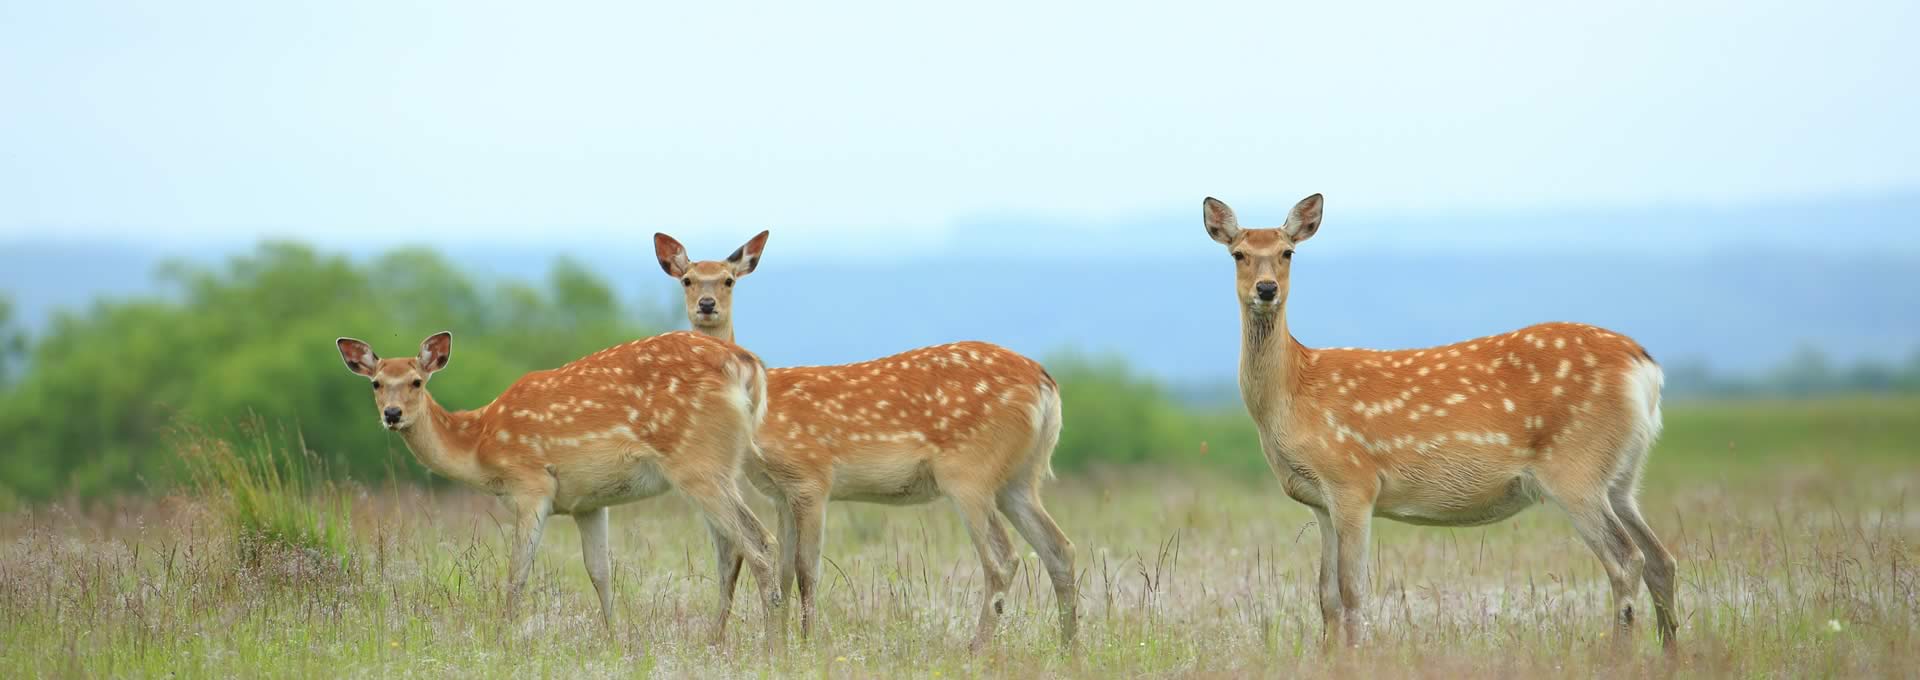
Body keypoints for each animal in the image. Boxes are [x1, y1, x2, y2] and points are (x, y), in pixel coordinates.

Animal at [334, 328, 783, 641]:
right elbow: (600, 572)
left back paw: (771, 644)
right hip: (719, 466)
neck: (480, 443)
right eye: (376, 383)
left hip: (697, 462)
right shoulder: (588, 502)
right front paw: (614, 640)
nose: (392, 414)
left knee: (759, 543)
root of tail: (747, 365)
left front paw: (503, 638)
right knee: (732, 549)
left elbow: (517, 571)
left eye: (416, 381)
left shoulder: (531, 484)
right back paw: (718, 639)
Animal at [652, 231, 1082, 649]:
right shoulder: (780, 493)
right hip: (1019, 477)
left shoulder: (811, 477)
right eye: (687, 279)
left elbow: (807, 568)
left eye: (728, 280)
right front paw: (785, 642)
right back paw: (1069, 648)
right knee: (1059, 548)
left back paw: (978, 647)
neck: (758, 414)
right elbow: (785, 569)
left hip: (969, 471)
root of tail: (1046, 384)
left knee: (1003, 558)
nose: (707, 304)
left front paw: (807, 643)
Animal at [1205, 194, 1674, 649]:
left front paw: (1354, 658)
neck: (1293, 392)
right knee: (1661, 559)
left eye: (1288, 252)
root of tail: (1645, 368)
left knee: (1627, 559)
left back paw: (1620, 654)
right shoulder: (1320, 500)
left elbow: (1353, 593)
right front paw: (1329, 658)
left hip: (1576, 467)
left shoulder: (1353, 481)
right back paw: (1668, 653)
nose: (1267, 289)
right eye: (1238, 254)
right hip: (1621, 476)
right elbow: (1327, 597)